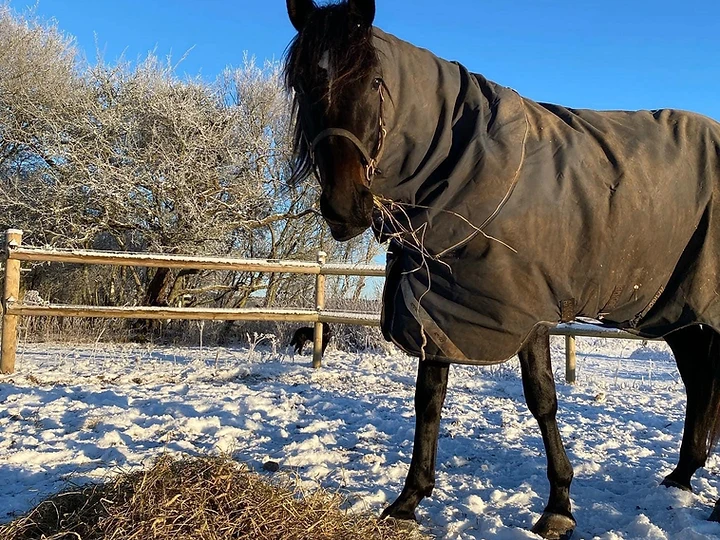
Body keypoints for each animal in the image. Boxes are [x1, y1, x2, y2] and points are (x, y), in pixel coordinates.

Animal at [283, 1, 720, 538]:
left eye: (372, 81)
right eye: (303, 83)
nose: (345, 207)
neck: (465, 163)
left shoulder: (524, 308)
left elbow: (542, 399)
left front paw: (557, 508)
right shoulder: (441, 300)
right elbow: (429, 398)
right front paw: (408, 501)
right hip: (679, 308)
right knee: (699, 379)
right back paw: (681, 476)